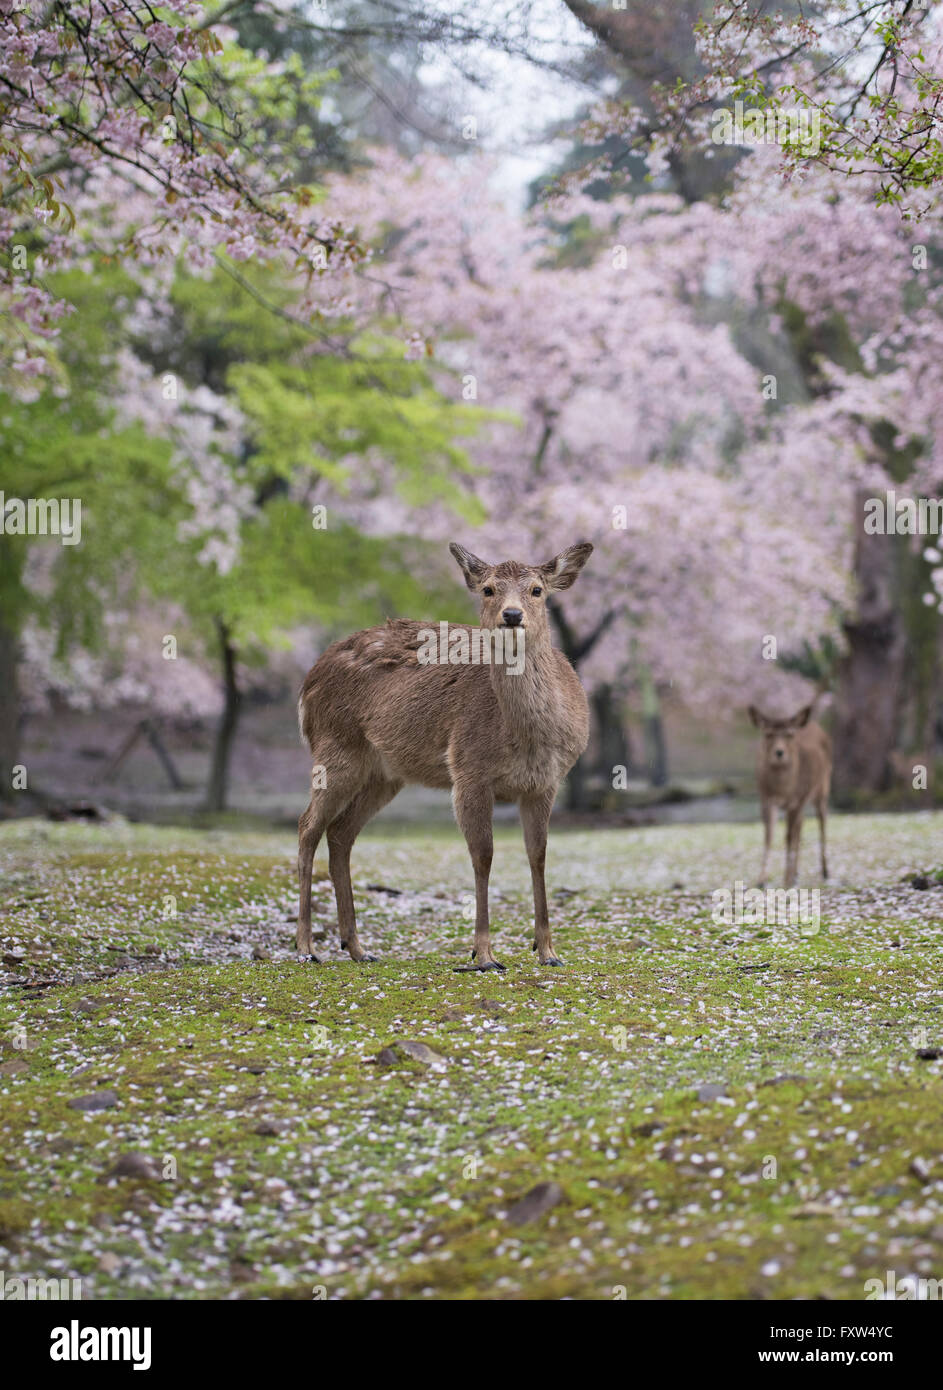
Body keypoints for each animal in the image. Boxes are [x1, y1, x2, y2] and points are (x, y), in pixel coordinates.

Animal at [294, 536, 595, 973]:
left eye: (538, 590)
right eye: (488, 589)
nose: (512, 615)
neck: (526, 738)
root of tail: (308, 682)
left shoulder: (546, 782)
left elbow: (537, 855)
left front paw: (548, 951)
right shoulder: (468, 771)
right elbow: (483, 855)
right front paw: (483, 955)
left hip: (384, 774)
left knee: (340, 832)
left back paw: (357, 947)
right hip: (334, 748)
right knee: (307, 826)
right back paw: (305, 946)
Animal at [751, 706, 828, 889]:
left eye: (790, 734)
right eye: (768, 733)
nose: (779, 752)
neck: (783, 790)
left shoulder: (797, 800)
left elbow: (788, 837)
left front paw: (785, 880)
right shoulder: (766, 799)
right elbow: (769, 835)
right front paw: (761, 879)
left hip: (822, 788)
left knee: (822, 821)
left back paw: (825, 871)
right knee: (801, 826)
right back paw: (796, 873)